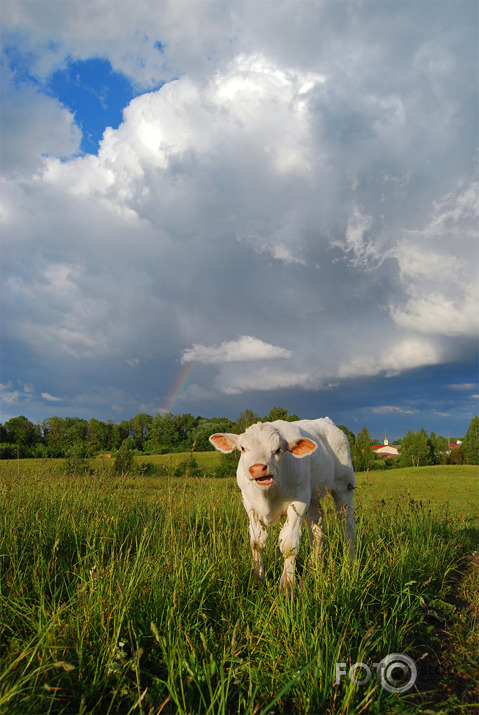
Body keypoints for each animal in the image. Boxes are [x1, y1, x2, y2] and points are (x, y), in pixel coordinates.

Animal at [210, 416, 356, 592]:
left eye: (278, 450)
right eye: (243, 448)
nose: (258, 468)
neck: (268, 494)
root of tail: (326, 421)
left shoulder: (298, 501)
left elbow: (289, 545)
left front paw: (287, 585)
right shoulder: (249, 503)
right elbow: (256, 542)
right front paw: (258, 579)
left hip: (345, 485)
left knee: (346, 526)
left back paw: (350, 564)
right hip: (313, 495)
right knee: (317, 528)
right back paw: (313, 568)